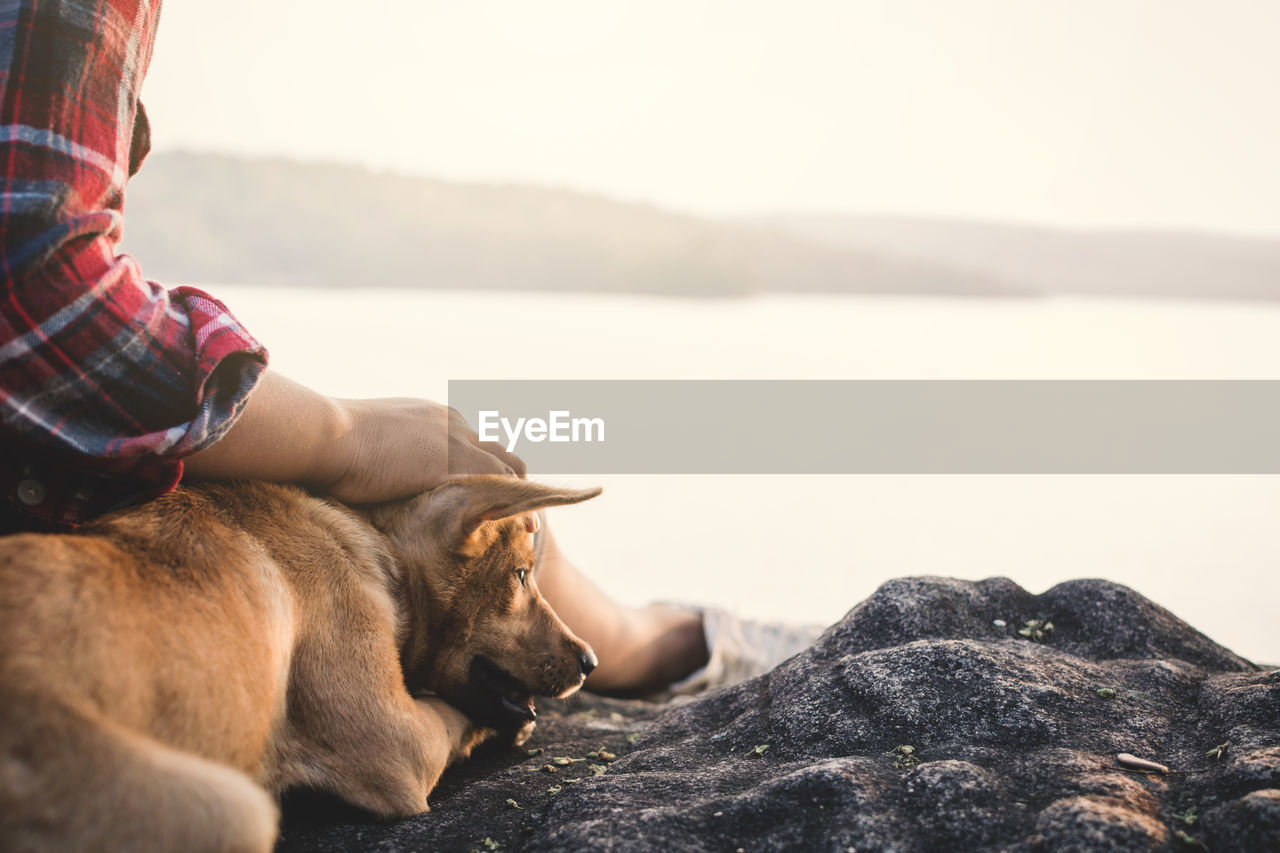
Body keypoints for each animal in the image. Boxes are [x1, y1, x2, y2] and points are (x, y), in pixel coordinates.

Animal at [0, 473, 599, 845]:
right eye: (521, 575)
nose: (591, 660)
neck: (377, 551)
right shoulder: (398, 739)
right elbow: (456, 717)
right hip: (230, 809)